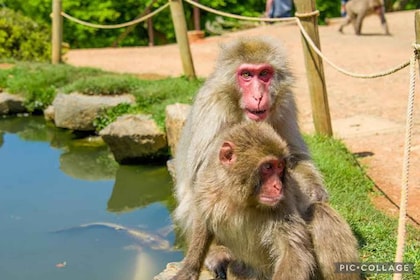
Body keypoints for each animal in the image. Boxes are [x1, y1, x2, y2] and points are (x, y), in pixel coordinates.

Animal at [173, 37, 328, 278]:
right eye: (246, 75)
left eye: (264, 74)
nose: (258, 95)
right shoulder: (212, 107)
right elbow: (201, 178)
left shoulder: (285, 103)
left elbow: (295, 156)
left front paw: (314, 190)